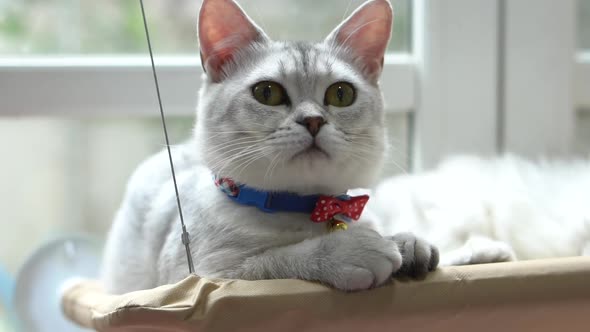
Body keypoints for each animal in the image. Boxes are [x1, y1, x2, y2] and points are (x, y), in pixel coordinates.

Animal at [102, 0, 440, 294]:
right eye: (267, 92)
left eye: (342, 93)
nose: (313, 120)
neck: (307, 210)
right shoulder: (204, 277)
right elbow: (274, 260)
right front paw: (355, 249)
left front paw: (405, 242)